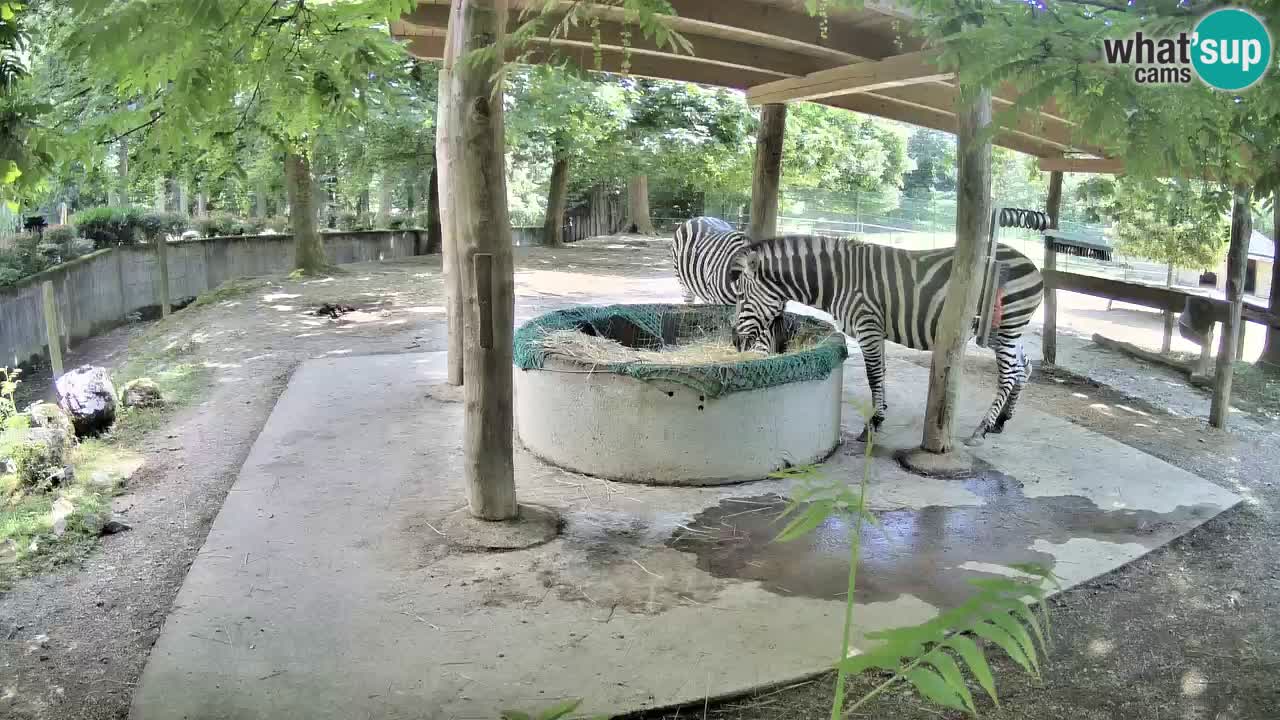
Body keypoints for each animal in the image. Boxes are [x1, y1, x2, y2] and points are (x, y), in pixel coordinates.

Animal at [729, 234, 1044, 444]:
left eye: (742, 296)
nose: (733, 340)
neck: (837, 280)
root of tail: (1034, 266)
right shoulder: (875, 329)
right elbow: (880, 372)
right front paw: (881, 414)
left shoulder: (867, 324)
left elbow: (873, 375)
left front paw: (874, 423)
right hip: (1001, 331)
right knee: (1024, 367)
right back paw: (1002, 421)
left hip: (1007, 325)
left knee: (1010, 373)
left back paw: (982, 428)